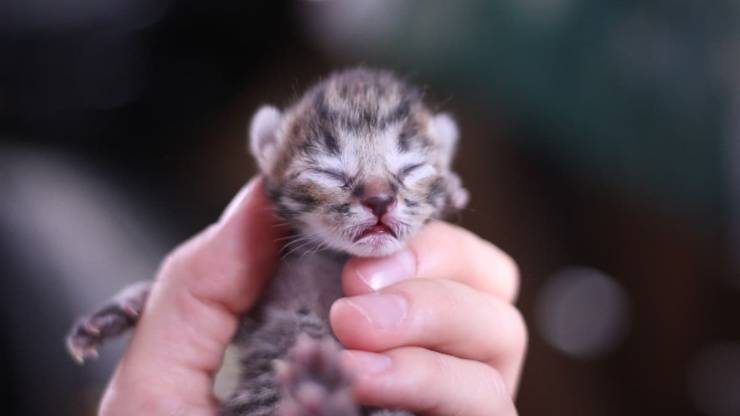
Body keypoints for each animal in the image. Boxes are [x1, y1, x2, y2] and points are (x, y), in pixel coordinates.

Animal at [65, 69, 468, 416]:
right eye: (328, 172)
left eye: (411, 168)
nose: (380, 200)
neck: (334, 259)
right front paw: (119, 308)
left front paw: (452, 191)